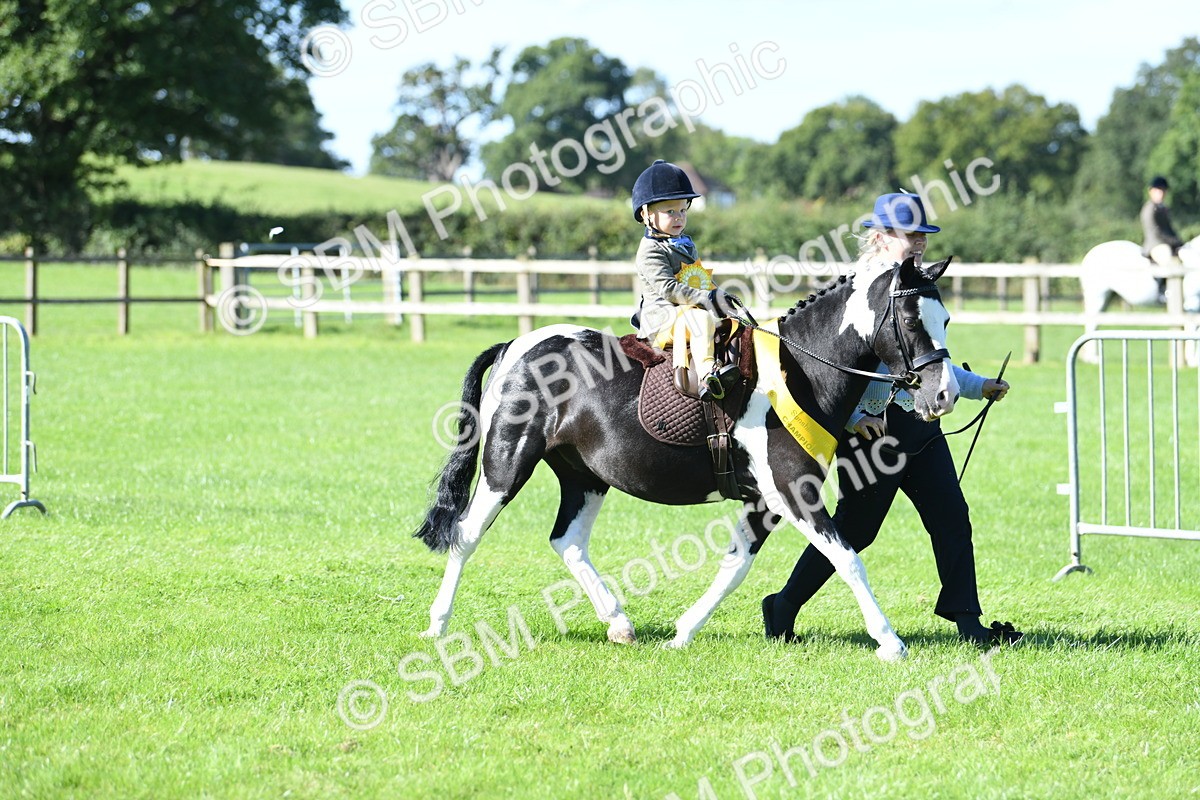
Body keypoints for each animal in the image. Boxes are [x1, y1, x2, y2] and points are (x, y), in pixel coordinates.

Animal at [413, 257, 959, 661]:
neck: (799, 371)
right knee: (466, 534)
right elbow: (847, 559)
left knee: (567, 541)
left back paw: (619, 623)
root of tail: (516, 346)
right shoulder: (793, 493)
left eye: (947, 319)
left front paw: (683, 632)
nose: (945, 394)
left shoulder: (764, 503)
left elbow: (734, 566)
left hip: (583, 477)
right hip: (507, 464)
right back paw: (438, 625)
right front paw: (889, 642)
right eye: (912, 320)